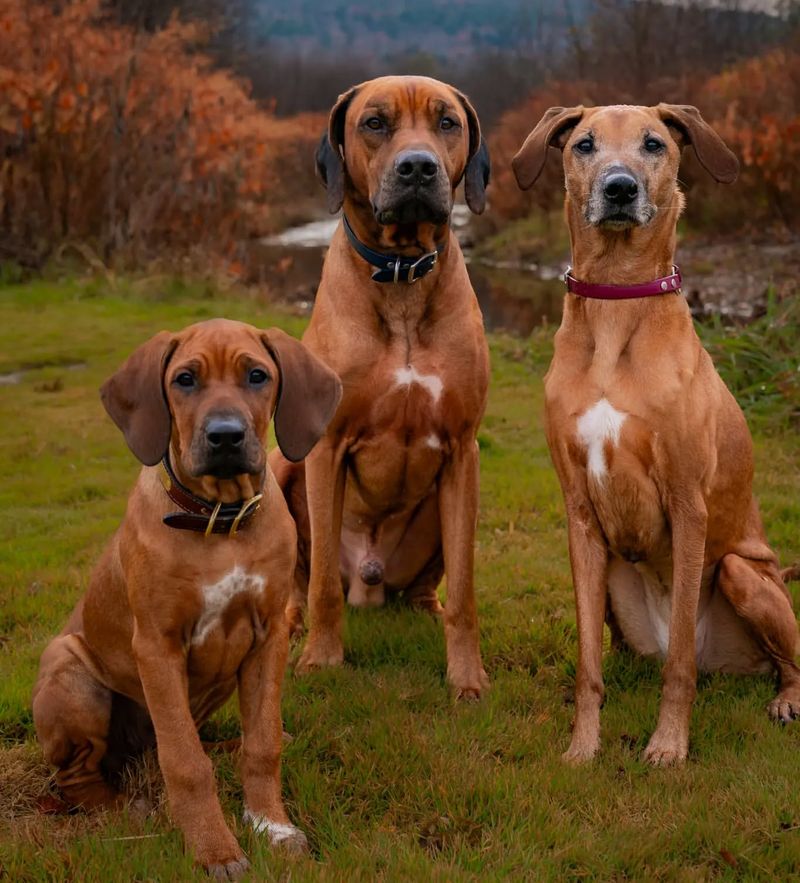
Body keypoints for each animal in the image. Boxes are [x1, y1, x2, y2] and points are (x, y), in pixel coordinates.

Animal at [32, 322, 340, 880]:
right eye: (185, 380)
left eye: (257, 375)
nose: (226, 436)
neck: (219, 518)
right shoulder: (157, 646)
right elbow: (186, 763)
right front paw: (215, 849)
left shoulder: (270, 636)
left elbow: (263, 743)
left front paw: (272, 825)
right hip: (70, 674)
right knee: (86, 775)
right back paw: (121, 808)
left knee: (199, 741)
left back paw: (230, 746)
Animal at [272, 74, 490, 696]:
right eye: (374, 123)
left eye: (447, 122)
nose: (417, 167)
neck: (401, 275)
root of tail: (367, 580)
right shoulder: (325, 448)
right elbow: (321, 581)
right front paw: (321, 659)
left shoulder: (463, 449)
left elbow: (466, 591)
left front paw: (467, 676)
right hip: (281, 468)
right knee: (301, 585)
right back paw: (292, 626)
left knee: (425, 588)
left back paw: (426, 610)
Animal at [512, 103, 800, 768]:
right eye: (584, 144)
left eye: (654, 144)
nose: (620, 188)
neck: (617, 300)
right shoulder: (579, 513)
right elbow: (587, 664)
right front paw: (583, 746)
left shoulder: (687, 502)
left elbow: (679, 671)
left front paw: (668, 746)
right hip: (616, 578)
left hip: (743, 573)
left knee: (769, 661)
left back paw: (783, 699)